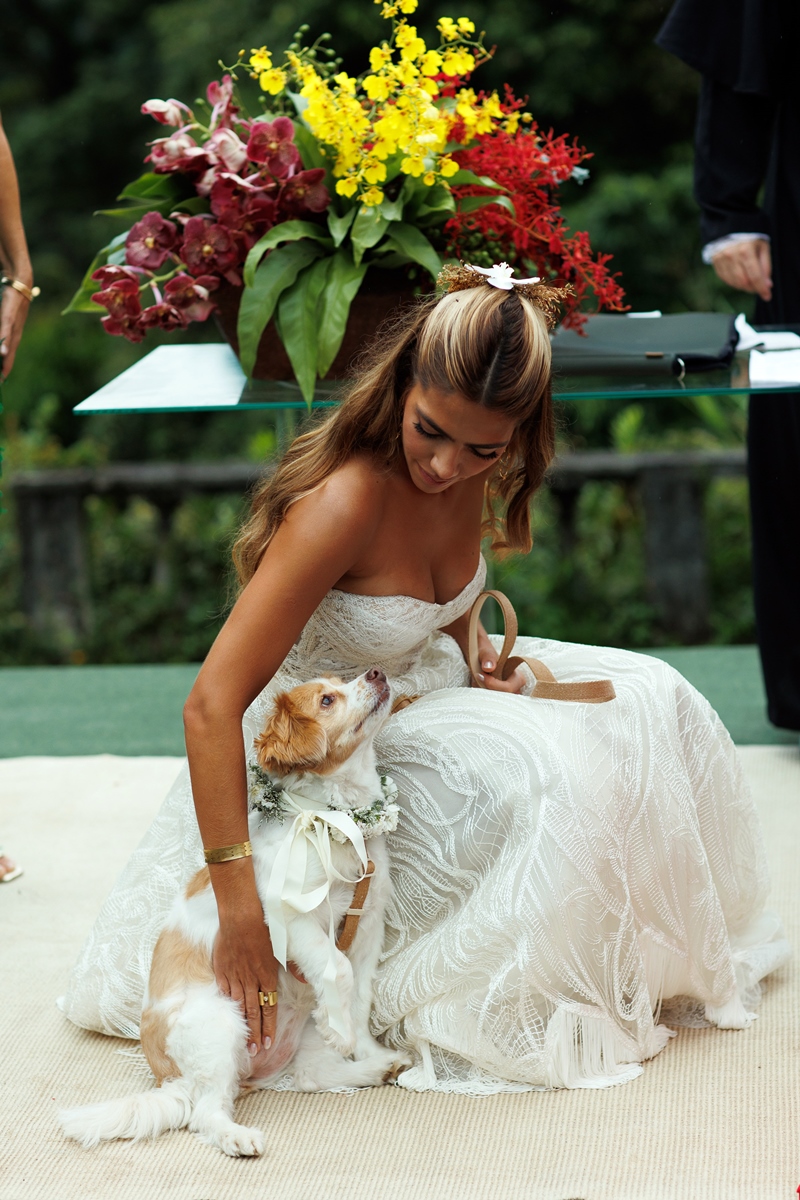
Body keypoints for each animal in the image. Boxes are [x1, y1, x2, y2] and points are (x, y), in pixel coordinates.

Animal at [61, 672, 410, 1156]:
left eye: (345, 681)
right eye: (326, 699)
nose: (376, 673)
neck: (331, 822)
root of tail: (169, 1078)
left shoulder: (368, 919)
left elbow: (359, 996)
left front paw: (365, 1046)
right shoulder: (291, 918)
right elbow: (336, 968)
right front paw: (342, 1031)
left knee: (308, 1076)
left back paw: (377, 1069)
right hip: (221, 1025)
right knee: (205, 1114)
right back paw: (236, 1136)